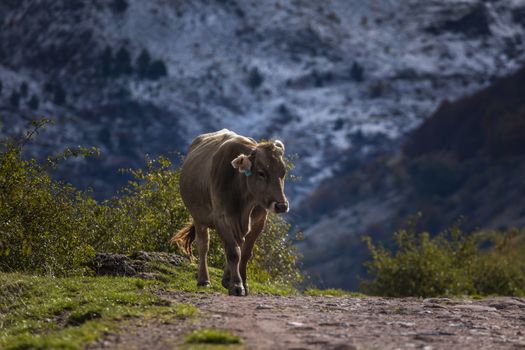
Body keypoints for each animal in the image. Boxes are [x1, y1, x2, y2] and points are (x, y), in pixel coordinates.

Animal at [172, 129, 288, 296]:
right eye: (261, 173)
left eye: (283, 172)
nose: (281, 206)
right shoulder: (222, 218)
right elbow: (233, 252)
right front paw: (237, 286)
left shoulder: (259, 221)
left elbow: (244, 253)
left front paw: (242, 283)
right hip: (198, 216)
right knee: (203, 245)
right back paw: (204, 280)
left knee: (238, 243)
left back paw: (226, 279)